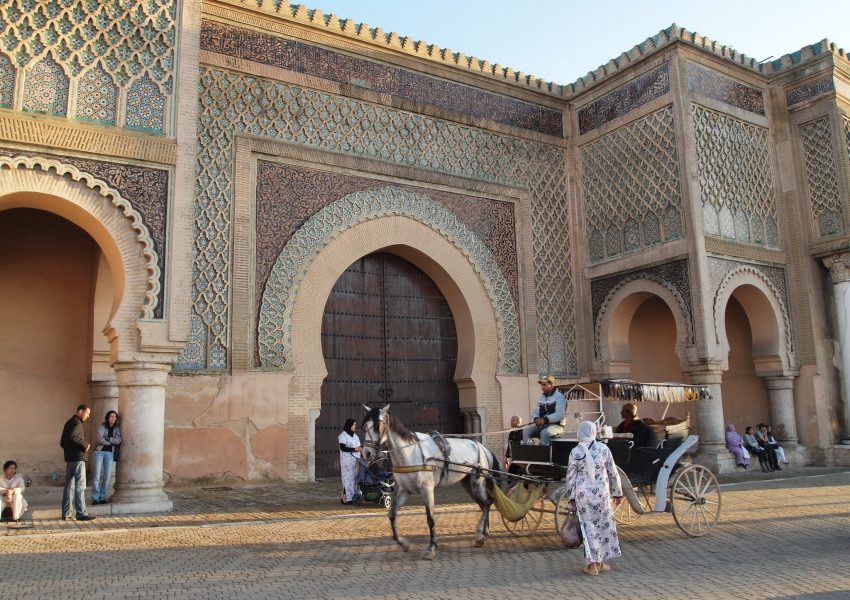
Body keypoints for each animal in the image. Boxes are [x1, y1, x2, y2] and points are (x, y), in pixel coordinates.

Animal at [358, 406, 496, 560]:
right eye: (365, 426)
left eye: (378, 426)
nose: (366, 453)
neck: (410, 452)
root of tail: (483, 448)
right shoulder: (404, 490)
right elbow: (392, 514)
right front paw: (403, 543)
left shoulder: (427, 489)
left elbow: (430, 519)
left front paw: (431, 548)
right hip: (468, 484)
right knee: (484, 504)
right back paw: (482, 534)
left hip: (477, 483)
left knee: (488, 503)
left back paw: (481, 536)